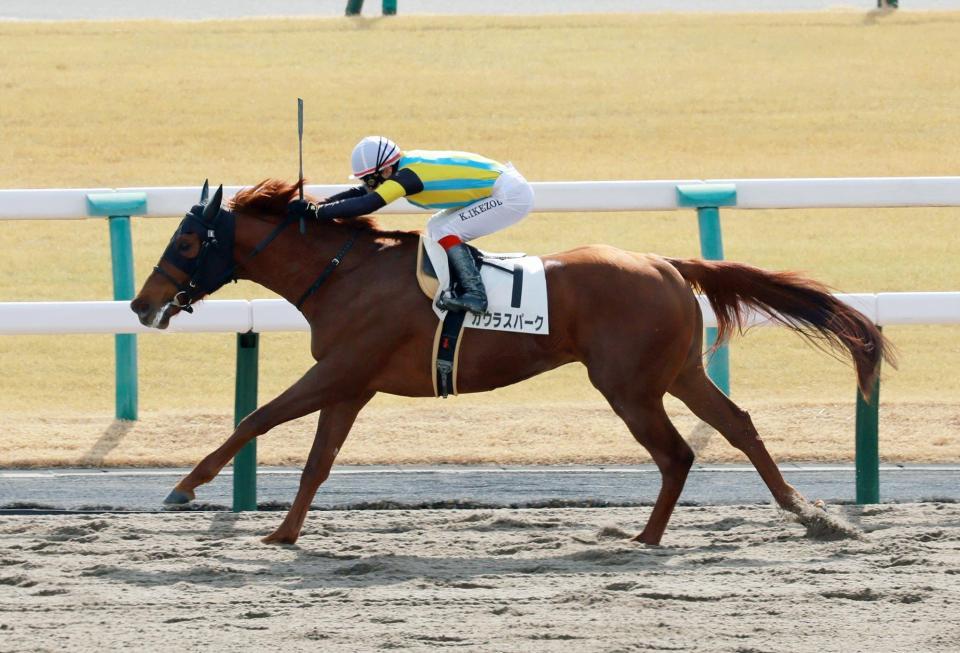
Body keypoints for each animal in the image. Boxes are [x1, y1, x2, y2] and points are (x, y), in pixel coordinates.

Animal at [129, 180, 892, 544]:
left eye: (188, 243)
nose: (142, 303)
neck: (344, 272)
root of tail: (667, 262)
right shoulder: (352, 385)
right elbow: (317, 461)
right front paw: (284, 532)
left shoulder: (340, 371)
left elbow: (257, 417)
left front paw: (183, 487)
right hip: (678, 372)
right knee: (737, 424)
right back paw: (806, 512)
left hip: (628, 385)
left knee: (677, 453)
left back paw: (645, 537)